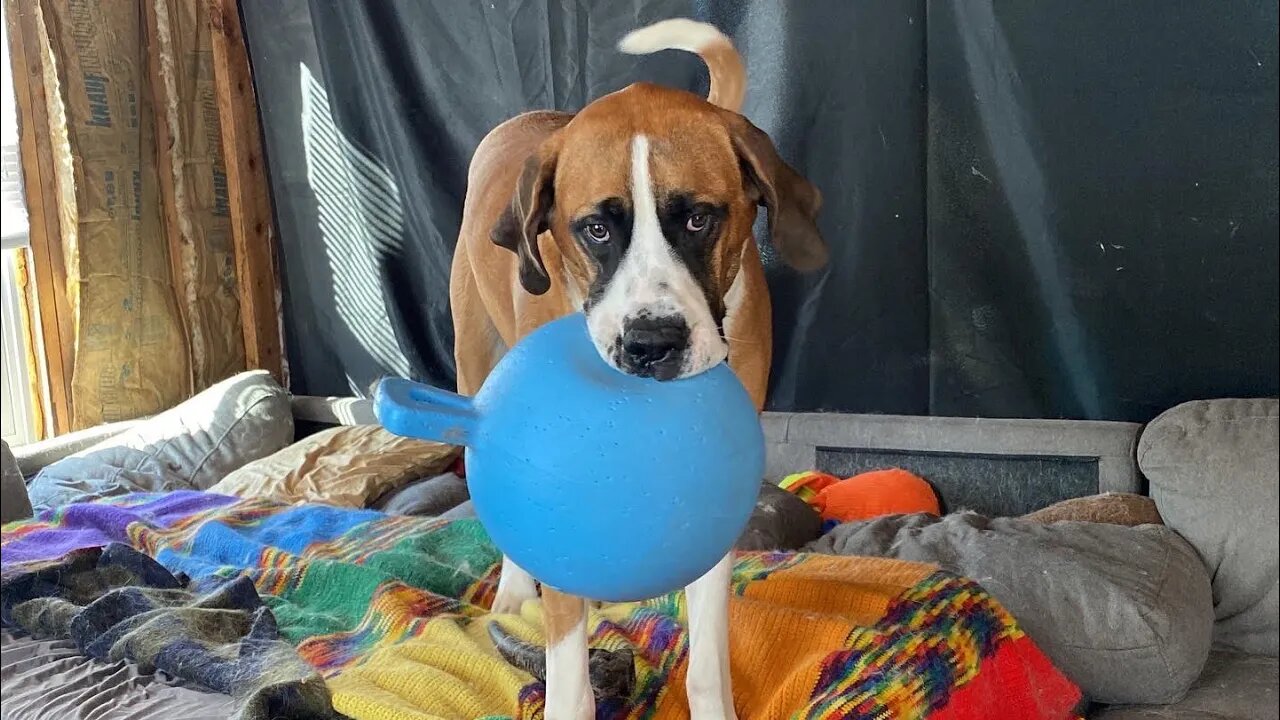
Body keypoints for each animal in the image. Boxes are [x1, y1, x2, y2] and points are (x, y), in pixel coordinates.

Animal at [450, 18, 829, 717]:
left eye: (699, 218)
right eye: (596, 230)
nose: (652, 343)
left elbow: (706, 656)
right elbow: (568, 670)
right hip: (476, 367)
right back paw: (515, 589)